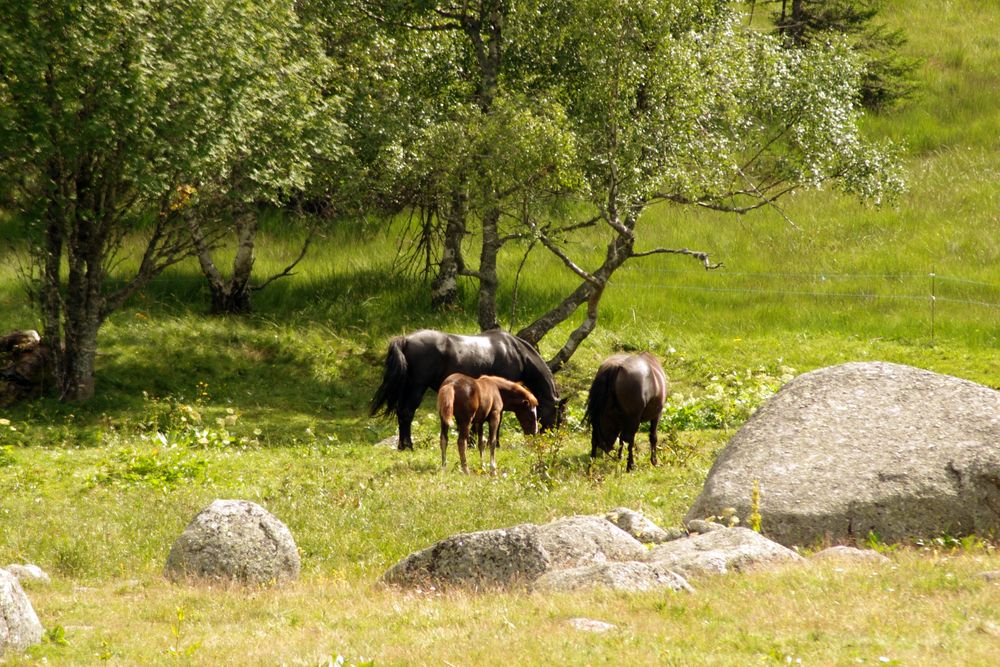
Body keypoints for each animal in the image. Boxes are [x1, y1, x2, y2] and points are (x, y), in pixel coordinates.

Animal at [372, 332, 564, 452]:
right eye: (559, 414)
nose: (553, 437)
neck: (516, 352)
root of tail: (405, 340)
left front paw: (471, 443)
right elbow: (497, 419)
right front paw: (495, 444)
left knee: (401, 413)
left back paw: (402, 446)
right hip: (417, 387)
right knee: (407, 412)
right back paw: (409, 446)